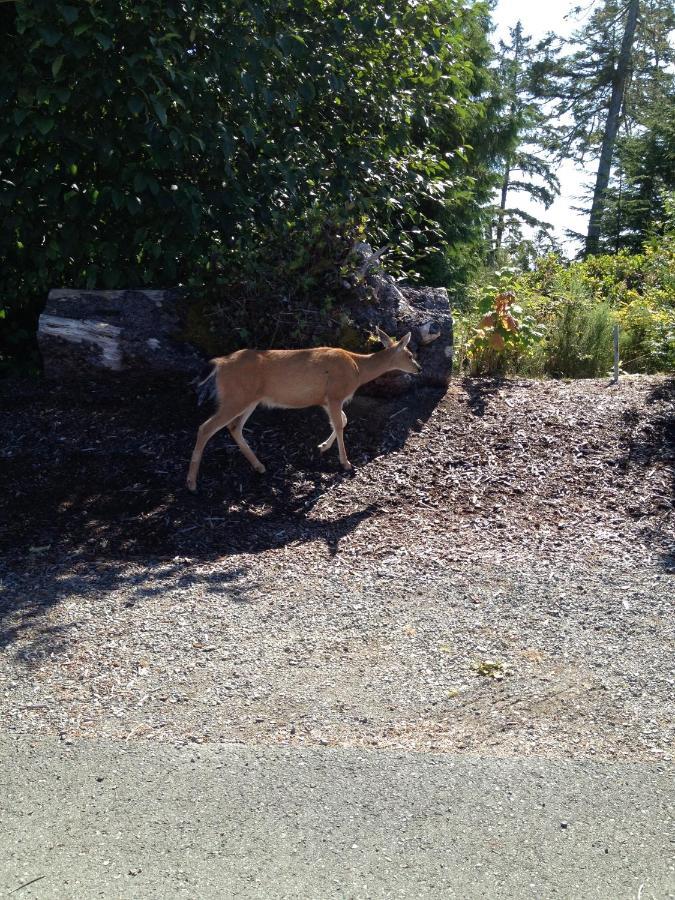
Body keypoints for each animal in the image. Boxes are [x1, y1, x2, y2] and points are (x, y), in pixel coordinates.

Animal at [187, 326, 420, 488]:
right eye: (410, 355)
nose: (418, 368)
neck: (358, 369)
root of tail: (219, 364)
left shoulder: (325, 399)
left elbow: (342, 421)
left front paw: (323, 446)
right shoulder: (335, 394)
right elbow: (340, 424)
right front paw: (345, 463)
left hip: (249, 399)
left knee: (234, 427)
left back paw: (259, 466)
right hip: (235, 397)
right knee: (205, 428)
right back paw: (191, 483)